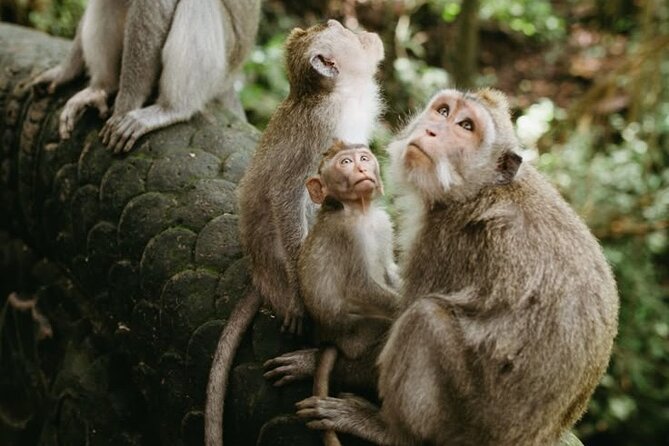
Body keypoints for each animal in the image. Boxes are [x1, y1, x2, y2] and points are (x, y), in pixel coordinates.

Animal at [30, 0, 260, 153]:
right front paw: (64, 71)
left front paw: (124, 108)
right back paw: (102, 86)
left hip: (225, 64)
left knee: (198, 4)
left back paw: (172, 108)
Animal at [204, 21, 385, 446]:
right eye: (345, 32)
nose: (364, 32)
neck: (335, 94)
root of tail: (259, 272)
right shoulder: (323, 128)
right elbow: (289, 192)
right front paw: (304, 303)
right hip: (277, 260)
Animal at [295, 88, 619, 446]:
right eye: (443, 111)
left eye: (466, 126)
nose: (431, 130)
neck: (480, 188)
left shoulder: (443, 238)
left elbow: (403, 315)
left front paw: (311, 362)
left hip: (466, 420)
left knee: (425, 318)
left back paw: (387, 430)